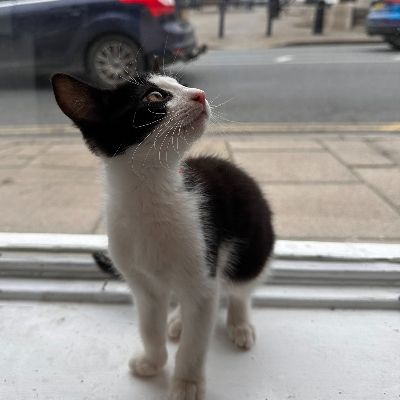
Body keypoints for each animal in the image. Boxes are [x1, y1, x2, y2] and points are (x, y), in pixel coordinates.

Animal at [50, 61, 276, 398]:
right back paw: (180, 320)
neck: (150, 195)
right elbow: (149, 326)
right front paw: (152, 361)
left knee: (237, 288)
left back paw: (238, 323)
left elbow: (195, 342)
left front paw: (186, 383)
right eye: (155, 97)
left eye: (180, 84)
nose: (200, 94)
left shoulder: (202, 261)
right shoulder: (144, 287)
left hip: (253, 245)